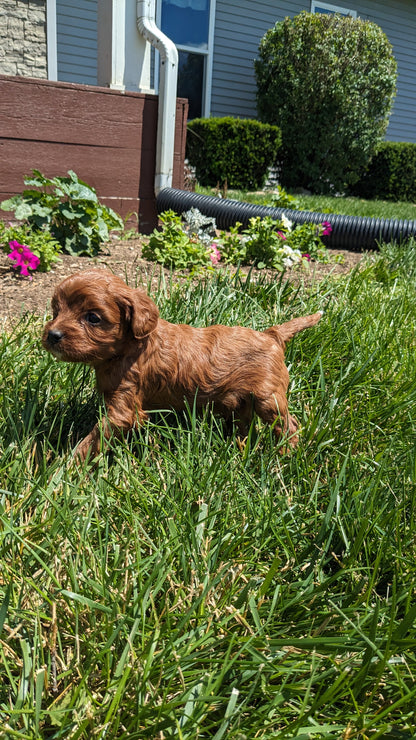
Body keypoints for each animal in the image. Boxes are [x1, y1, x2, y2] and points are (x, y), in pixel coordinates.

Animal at [42, 268, 322, 460]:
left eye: (93, 318)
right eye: (56, 311)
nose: (52, 335)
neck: (127, 349)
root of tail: (271, 335)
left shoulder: (124, 406)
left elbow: (95, 438)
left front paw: (66, 468)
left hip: (267, 397)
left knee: (288, 425)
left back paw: (285, 456)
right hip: (242, 400)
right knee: (245, 424)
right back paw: (239, 448)